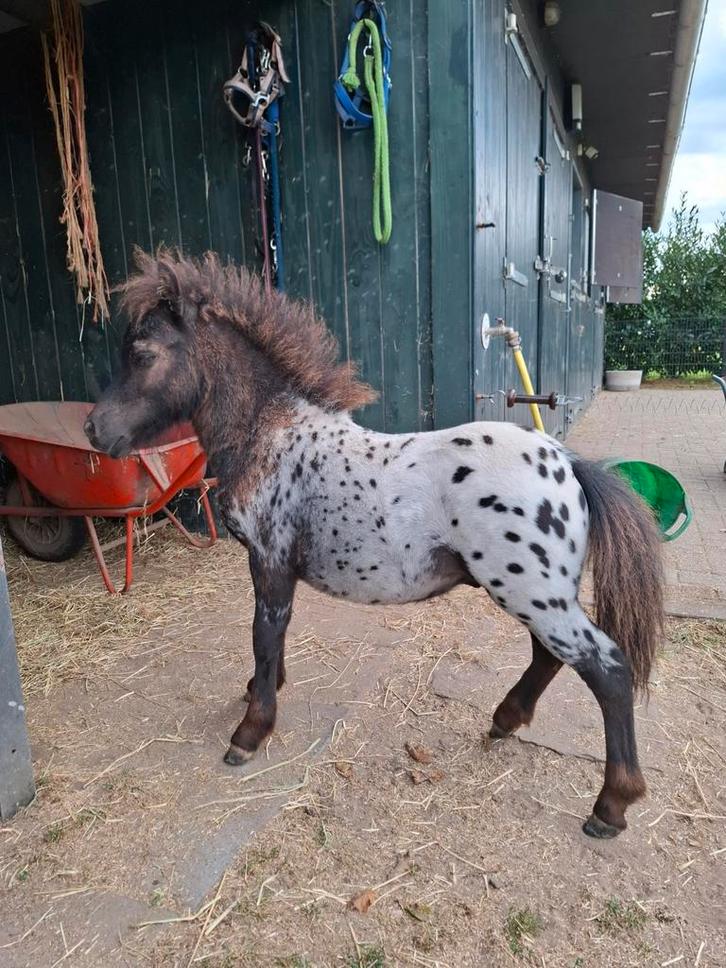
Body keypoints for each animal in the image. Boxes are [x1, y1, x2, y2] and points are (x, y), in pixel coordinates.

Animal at [85, 249, 664, 839]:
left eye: (143, 354)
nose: (93, 430)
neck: (272, 433)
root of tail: (567, 463)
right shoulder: (270, 565)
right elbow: (271, 639)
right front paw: (260, 690)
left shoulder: (269, 560)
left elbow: (264, 636)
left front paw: (251, 732)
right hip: (535, 593)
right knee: (551, 656)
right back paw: (505, 721)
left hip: (531, 592)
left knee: (607, 668)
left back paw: (610, 807)